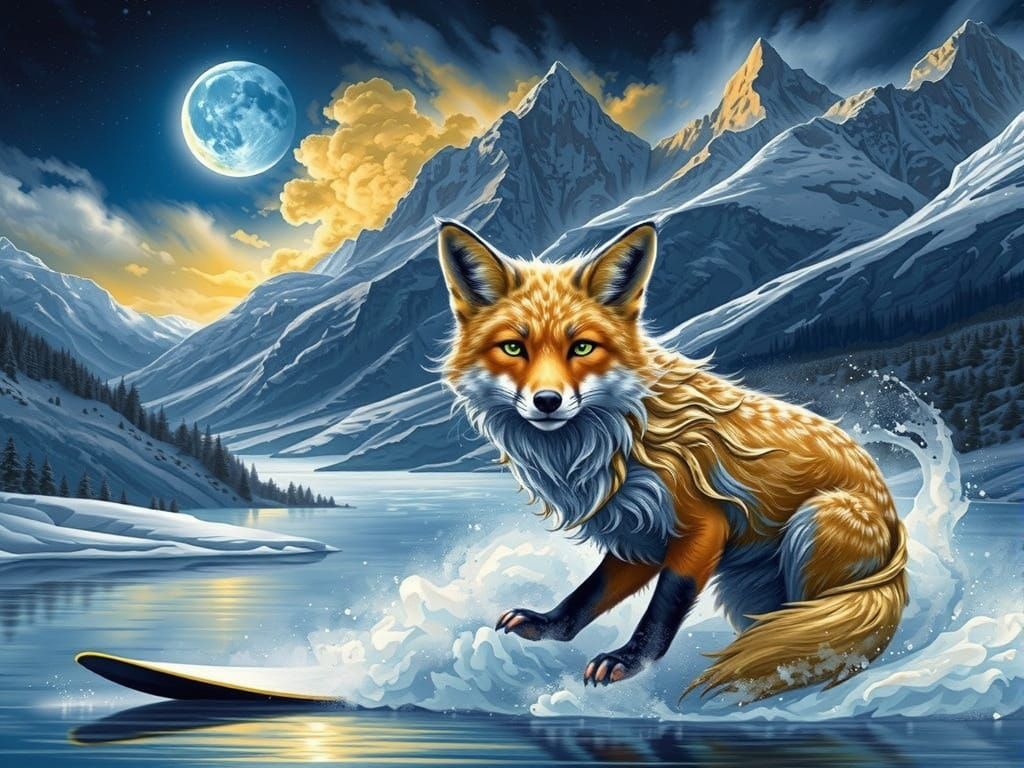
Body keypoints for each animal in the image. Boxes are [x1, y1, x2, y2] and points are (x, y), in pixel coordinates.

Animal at [437, 219, 908, 702]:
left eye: (582, 348)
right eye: (514, 348)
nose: (547, 401)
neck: (617, 438)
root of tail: (894, 527)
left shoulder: (703, 527)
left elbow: (662, 608)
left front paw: (629, 661)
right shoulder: (637, 535)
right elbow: (587, 595)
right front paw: (550, 626)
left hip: (816, 522)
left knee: (817, 633)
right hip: (746, 591)